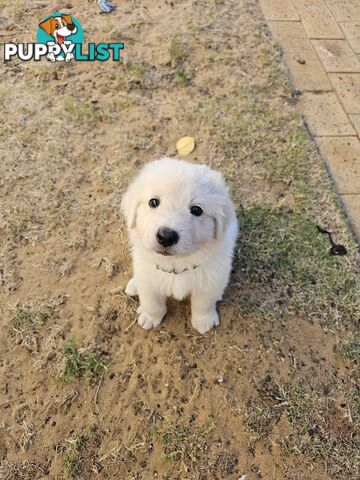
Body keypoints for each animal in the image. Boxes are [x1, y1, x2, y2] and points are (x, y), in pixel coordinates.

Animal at [122, 158, 238, 334]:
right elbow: (152, 303)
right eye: (153, 202)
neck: (175, 265)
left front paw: (203, 321)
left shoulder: (210, 282)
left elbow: (203, 304)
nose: (166, 236)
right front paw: (150, 317)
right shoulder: (148, 281)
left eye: (196, 210)